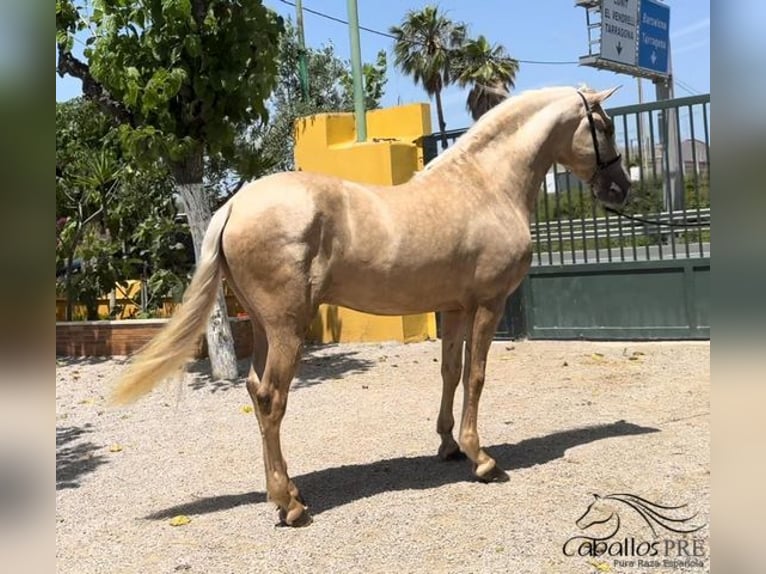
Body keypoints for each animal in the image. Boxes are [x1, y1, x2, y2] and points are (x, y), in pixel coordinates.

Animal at [114, 84, 632, 528]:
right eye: (603, 126)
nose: (619, 189)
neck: (484, 186)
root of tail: (233, 206)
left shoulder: (455, 308)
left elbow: (451, 372)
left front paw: (448, 446)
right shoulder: (489, 304)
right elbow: (477, 376)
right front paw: (481, 459)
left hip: (262, 327)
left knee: (255, 390)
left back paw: (285, 493)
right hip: (286, 327)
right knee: (270, 398)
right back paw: (291, 506)